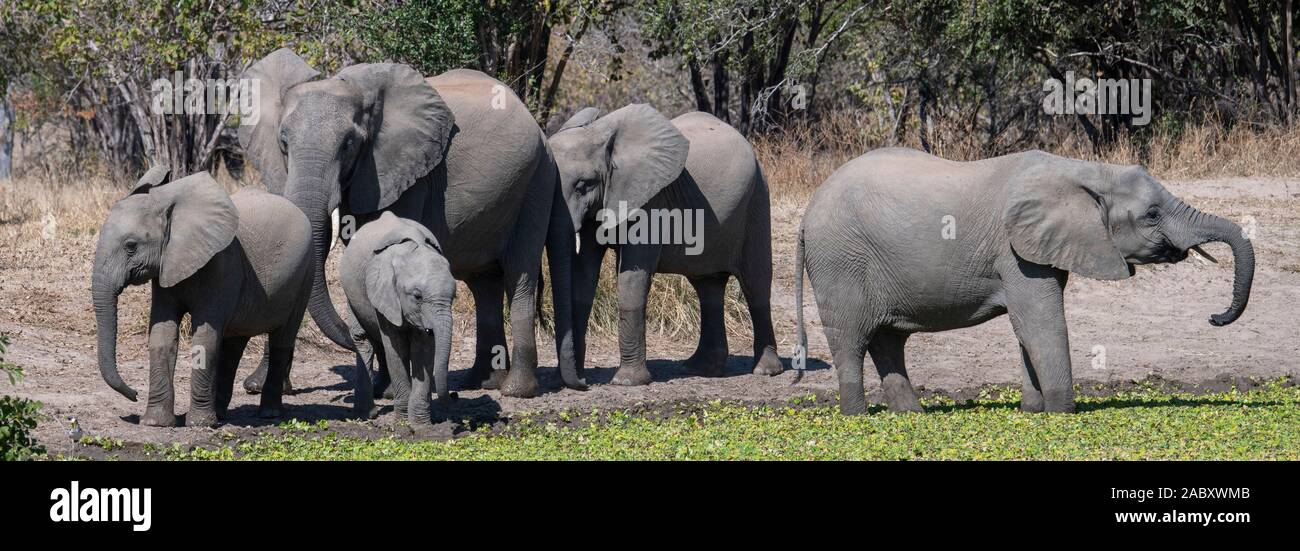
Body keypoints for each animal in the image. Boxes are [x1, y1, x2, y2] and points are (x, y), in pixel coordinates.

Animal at [90, 168, 366, 427]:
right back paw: (221, 414)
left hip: (305, 274)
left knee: (281, 338)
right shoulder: (166, 268)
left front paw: (198, 424)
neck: (169, 202)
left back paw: (268, 413)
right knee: (234, 346)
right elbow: (162, 336)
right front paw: (155, 423)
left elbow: (204, 339)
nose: (134, 394)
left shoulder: (221, 266)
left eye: (131, 246)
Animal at [237, 49, 583, 398]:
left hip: (533, 184)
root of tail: (542, 132)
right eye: (283, 142)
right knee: (484, 282)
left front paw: (389, 389)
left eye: (349, 144)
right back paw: (482, 382)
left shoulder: (405, 176)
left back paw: (515, 390)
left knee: (519, 274)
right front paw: (257, 387)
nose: (354, 338)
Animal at [340, 212, 455, 425]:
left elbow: (424, 349)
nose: (452, 398)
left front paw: (421, 425)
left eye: (454, 297)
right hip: (352, 295)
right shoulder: (384, 294)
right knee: (362, 340)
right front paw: (402, 423)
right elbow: (395, 348)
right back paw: (365, 415)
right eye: (417, 296)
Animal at [548, 105, 783, 385]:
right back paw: (700, 369)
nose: (583, 384)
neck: (599, 132)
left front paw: (627, 382)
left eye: (584, 185)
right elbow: (583, 276)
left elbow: (632, 277)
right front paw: (574, 377)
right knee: (708, 286)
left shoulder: (651, 200)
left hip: (757, 200)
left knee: (755, 283)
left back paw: (766, 371)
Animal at [793, 148, 1255, 414]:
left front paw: (1033, 413)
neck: (1086, 170)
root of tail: (807, 213)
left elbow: (1026, 328)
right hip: (839, 261)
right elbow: (1041, 323)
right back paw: (856, 416)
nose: (1215, 317)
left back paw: (911, 416)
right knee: (851, 339)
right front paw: (1062, 414)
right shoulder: (1014, 249)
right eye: (1153, 214)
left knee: (888, 341)